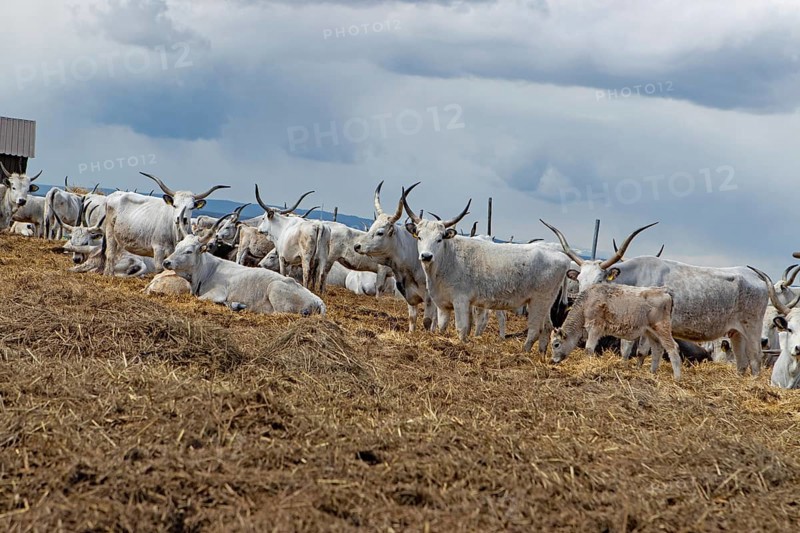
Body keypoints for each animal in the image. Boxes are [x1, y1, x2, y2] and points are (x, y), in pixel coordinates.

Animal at [162, 211, 326, 316]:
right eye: (177, 247)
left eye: (189, 251)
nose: (166, 262)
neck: (207, 270)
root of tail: (318, 300)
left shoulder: (218, 293)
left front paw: (235, 304)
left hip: (275, 290)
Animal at [353, 182, 437, 332]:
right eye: (371, 227)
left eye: (380, 232)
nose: (357, 246)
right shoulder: (409, 294)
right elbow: (412, 318)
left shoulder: (429, 297)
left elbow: (428, 320)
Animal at [401, 185, 569, 352]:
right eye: (419, 237)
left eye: (439, 239)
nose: (426, 256)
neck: (447, 259)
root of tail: (562, 257)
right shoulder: (443, 304)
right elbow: (443, 327)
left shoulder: (461, 300)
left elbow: (461, 328)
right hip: (546, 303)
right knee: (547, 327)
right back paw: (541, 354)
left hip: (539, 301)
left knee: (535, 330)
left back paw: (524, 352)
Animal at [550, 283, 683, 380]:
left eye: (556, 344)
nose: (552, 360)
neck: (585, 304)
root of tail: (664, 291)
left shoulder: (594, 327)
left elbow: (589, 348)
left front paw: (586, 366)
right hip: (650, 331)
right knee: (657, 349)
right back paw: (652, 373)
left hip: (662, 328)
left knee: (672, 348)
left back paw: (677, 378)